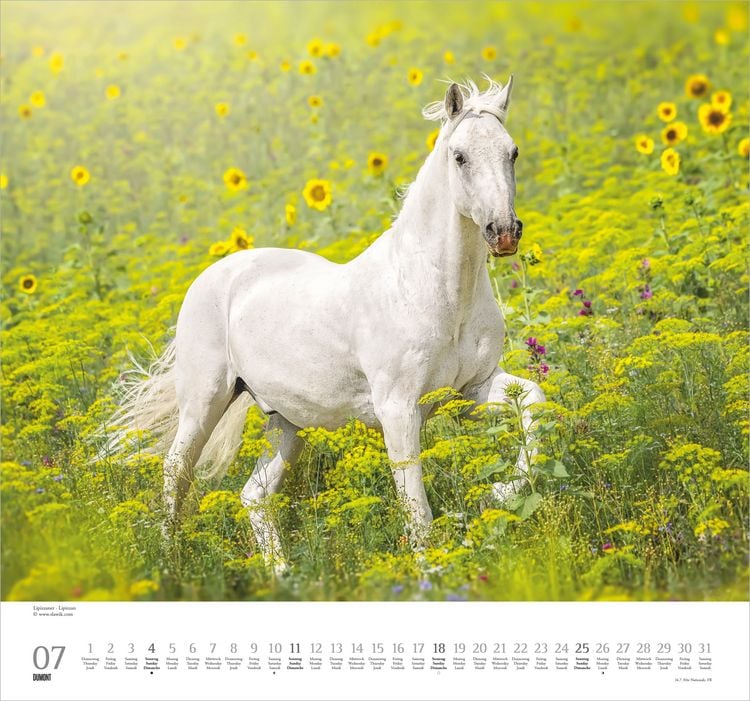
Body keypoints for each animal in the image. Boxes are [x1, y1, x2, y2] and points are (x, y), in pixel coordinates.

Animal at [113, 76, 546, 572]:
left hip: (287, 423)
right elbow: (414, 501)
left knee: (253, 494)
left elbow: (534, 402)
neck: (436, 291)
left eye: (512, 152)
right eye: (460, 156)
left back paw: (283, 573)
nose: (504, 232)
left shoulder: (470, 391)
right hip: (204, 402)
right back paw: (170, 564)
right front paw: (430, 570)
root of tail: (216, 274)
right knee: (176, 471)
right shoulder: (399, 409)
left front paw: (502, 491)